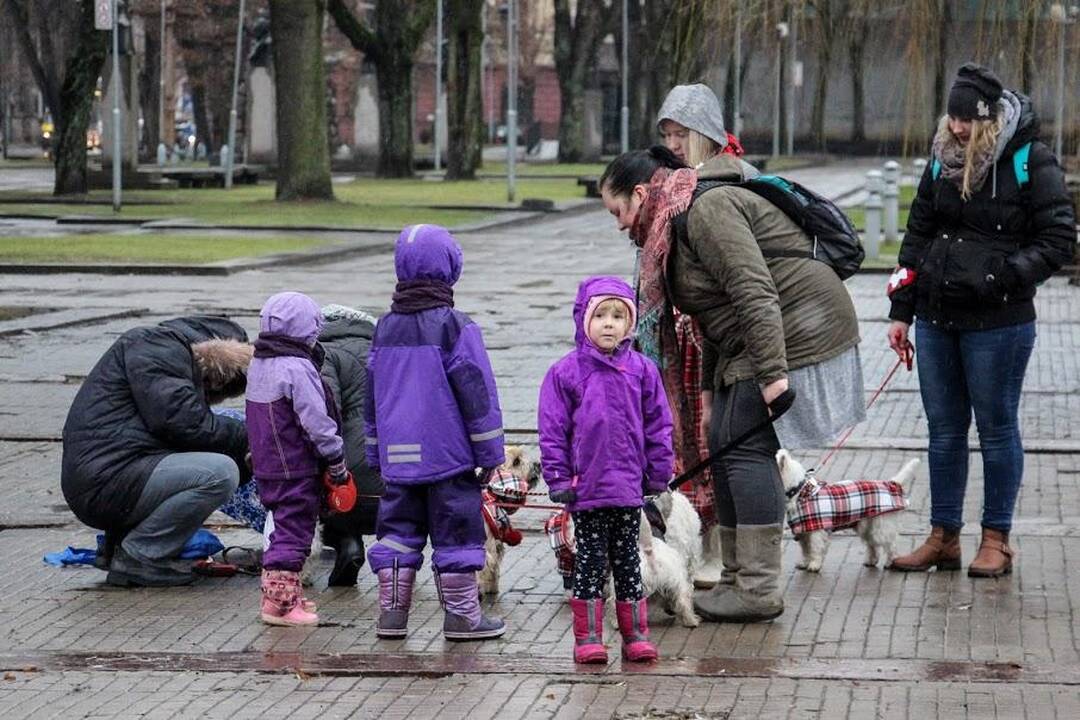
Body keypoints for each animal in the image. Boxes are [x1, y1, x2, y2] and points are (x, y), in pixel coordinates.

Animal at [777, 451, 920, 574]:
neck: (800, 493)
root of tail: (893, 483)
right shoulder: (804, 531)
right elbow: (806, 550)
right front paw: (805, 563)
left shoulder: (817, 530)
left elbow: (815, 548)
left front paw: (814, 565)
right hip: (867, 525)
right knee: (872, 544)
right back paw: (871, 561)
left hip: (881, 526)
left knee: (891, 544)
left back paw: (890, 562)